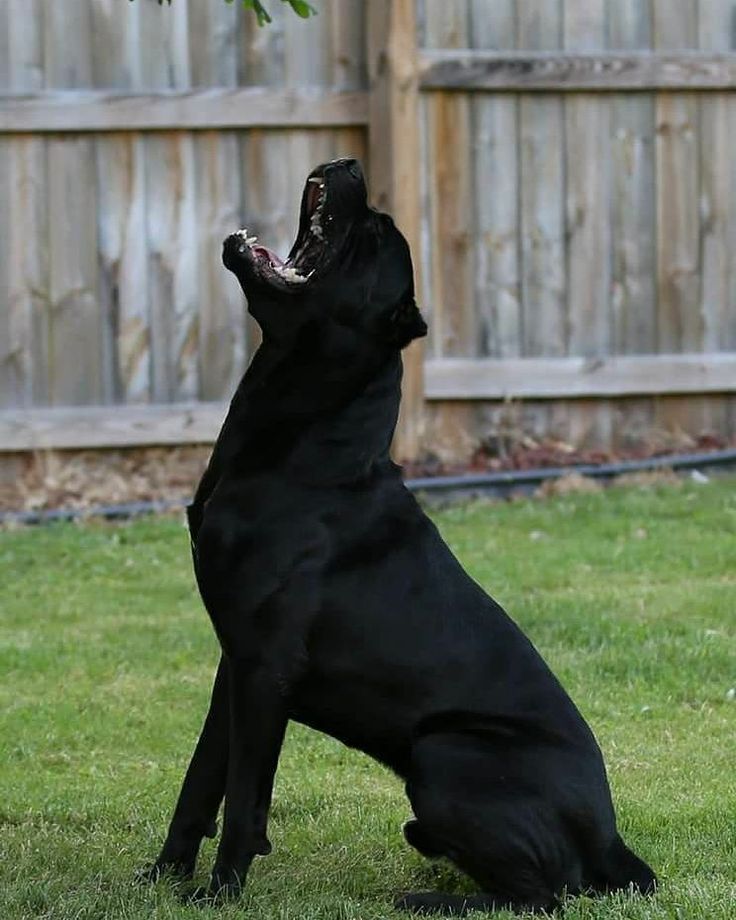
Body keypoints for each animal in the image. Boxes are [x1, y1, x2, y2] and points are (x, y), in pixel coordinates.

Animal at [145, 160, 656, 912]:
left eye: (377, 238)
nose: (352, 166)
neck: (305, 445)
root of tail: (612, 841)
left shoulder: (265, 666)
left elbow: (242, 800)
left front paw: (220, 896)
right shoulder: (232, 662)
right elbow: (200, 782)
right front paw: (159, 880)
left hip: (445, 757)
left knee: (546, 893)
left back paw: (429, 900)